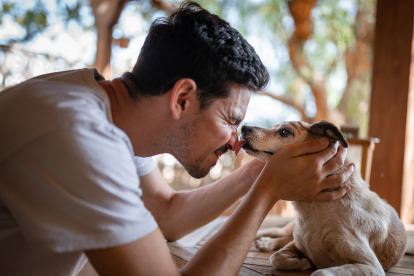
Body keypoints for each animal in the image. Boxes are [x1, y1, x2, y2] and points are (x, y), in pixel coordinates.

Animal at [236, 121, 408, 276]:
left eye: (284, 132)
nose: (243, 127)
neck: (315, 207)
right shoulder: (296, 244)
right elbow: (276, 258)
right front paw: (304, 261)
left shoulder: (370, 266)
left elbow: (320, 272)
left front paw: (307, 263)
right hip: (290, 228)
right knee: (278, 232)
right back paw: (263, 240)